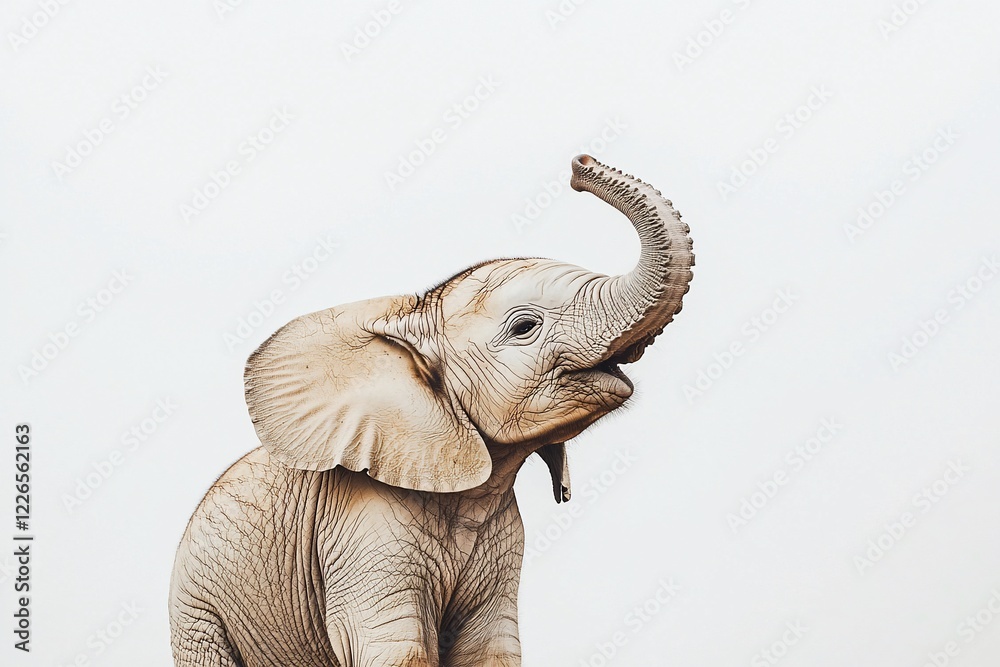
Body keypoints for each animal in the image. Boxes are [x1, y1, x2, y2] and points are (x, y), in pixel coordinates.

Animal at [169, 154, 694, 667]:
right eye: (525, 327)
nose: (578, 164)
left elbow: (490, 651)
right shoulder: (359, 523)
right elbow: (396, 649)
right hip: (198, 615)